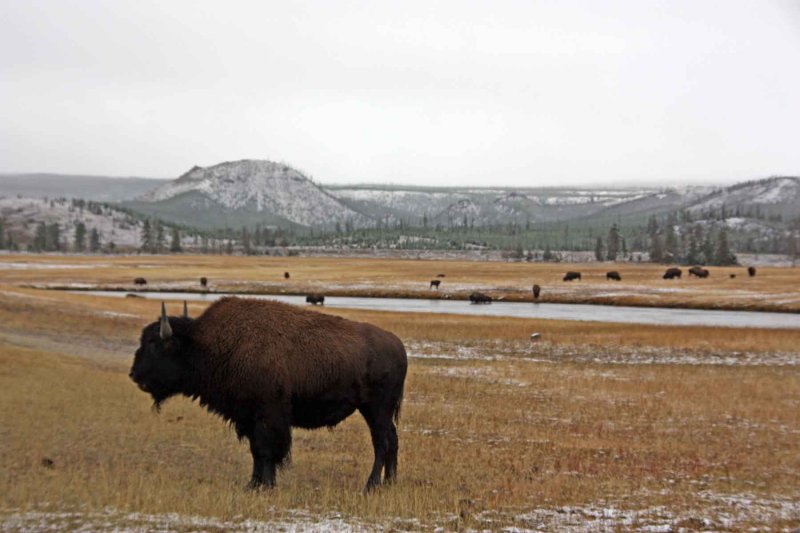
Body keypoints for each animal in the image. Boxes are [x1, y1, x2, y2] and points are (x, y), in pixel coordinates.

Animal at [130, 298, 410, 488]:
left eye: (154, 345)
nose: (134, 375)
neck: (204, 344)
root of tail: (398, 345)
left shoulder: (268, 415)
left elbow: (267, 450)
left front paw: (265, 485)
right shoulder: (248, 417)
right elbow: (256, 450)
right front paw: (254, 484)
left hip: (376, 409)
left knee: (382, 442)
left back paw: (371, 485)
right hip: (376, 411)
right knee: (391, 440)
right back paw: (389, 483)